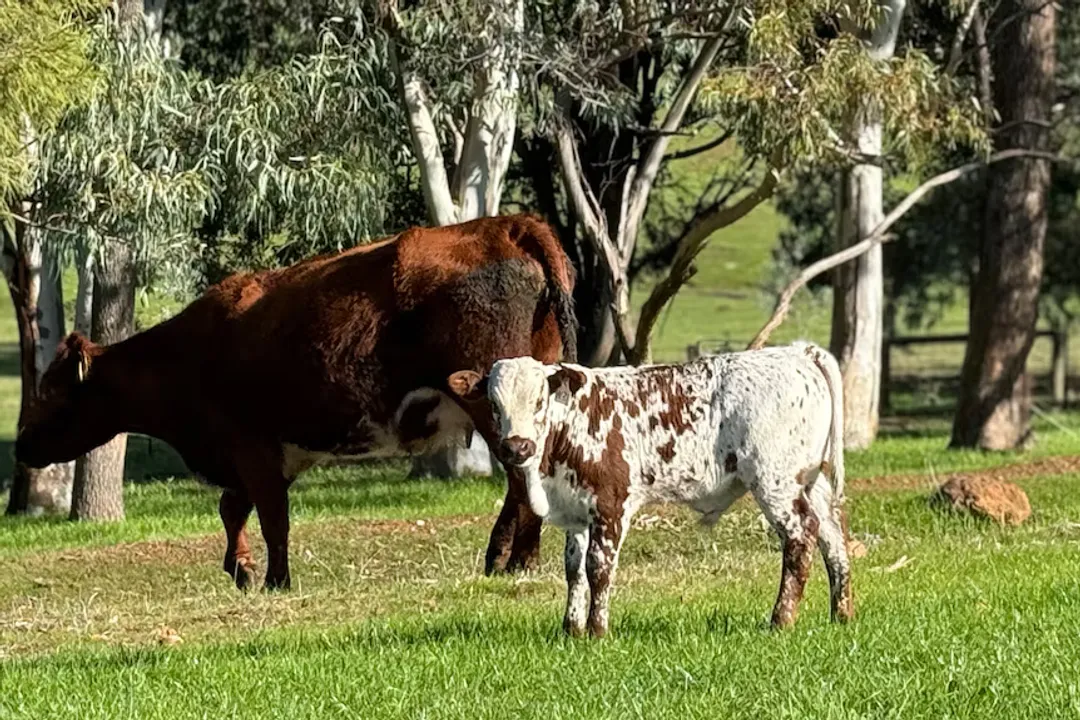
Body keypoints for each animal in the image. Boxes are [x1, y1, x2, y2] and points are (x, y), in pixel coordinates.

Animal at [16, 214, 576, 590]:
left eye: (51, 392)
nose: (22, 444)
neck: (187, 356)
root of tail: (509, 226)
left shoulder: (253, 448)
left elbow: (271, 516)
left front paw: (274, 579)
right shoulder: (252, 456)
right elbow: (233, 507)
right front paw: (241, 568)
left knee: (520, 475)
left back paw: (515, 559)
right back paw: (509, 558)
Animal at [447, 342, 852, 638]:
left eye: (538, 401)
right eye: (494, 404)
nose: (517, 447)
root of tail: (797, 351)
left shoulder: (611, 503)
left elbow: (598, 568)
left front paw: (597, 631)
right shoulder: (576, 512)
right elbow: (574, 569)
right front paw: (571, 630)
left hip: (774, 482)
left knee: (801, 538)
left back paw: (780, 620)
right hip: (810, 482)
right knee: (833, 539)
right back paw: (842, 615)